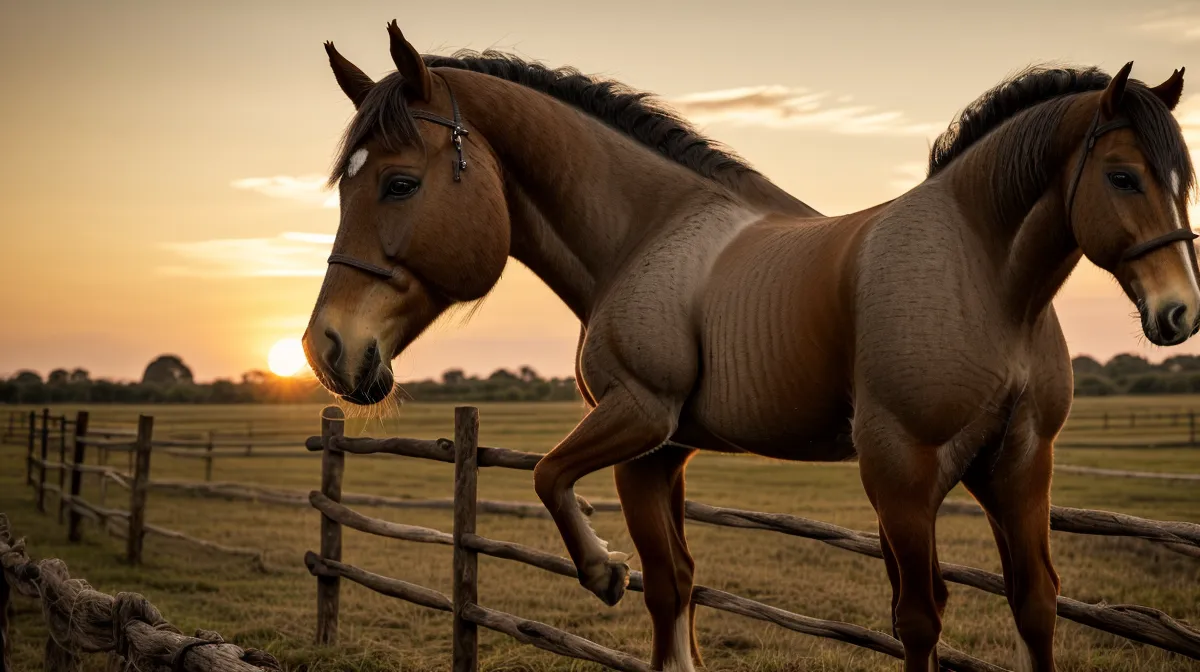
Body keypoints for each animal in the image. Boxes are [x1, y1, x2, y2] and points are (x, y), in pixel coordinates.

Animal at [302, 21, 1195, 672]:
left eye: (400, 183)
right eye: (1127, 176)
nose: (327, 348)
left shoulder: (652, 426)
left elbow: (559, 485)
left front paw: (601, 571)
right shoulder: (662, 450)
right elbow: (673, 584)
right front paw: (615, 575)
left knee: (936, 614)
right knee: (1031, 603)